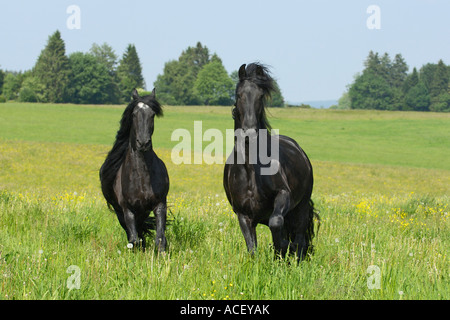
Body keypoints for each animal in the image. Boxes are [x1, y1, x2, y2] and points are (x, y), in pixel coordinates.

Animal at [100, 89, 169, 251]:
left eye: (152, 114)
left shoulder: (160, 205)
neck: (142, 176)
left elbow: (160, 239)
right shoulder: (128, 210)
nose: (143, 143)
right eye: (133, 114)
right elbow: (134, 240)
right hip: (121, 213)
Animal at [224, 63, 316, 262]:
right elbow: (252, 248)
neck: (250, 169)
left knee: (299, 238)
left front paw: (285, 247)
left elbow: (276, 224)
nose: (250, 133)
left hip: (302, 206)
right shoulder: (243, 214)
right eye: (239, 95)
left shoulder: (283, 195)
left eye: (260, 96)